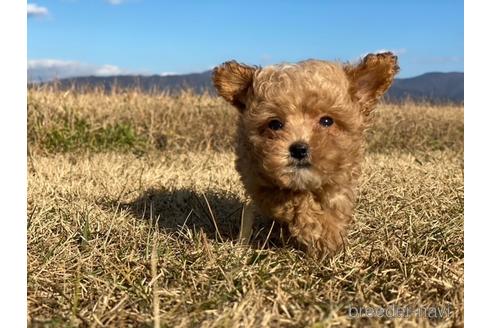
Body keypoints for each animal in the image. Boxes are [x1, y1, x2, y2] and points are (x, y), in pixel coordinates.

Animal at [213, 52, 398, 256]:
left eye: (327, 121)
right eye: (275, 124)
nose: (299, 149)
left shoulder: (342, 175)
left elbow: (333, 203)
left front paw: (330, 235)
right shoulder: (257, 177)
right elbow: (297, 203)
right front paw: (317, 232)